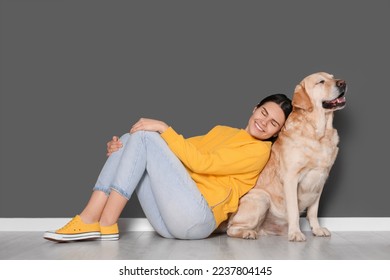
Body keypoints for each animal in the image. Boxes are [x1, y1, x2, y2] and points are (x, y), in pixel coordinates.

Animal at [227, 71, 346, 241]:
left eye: (333, 77)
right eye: (321, 82)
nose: (343, 83)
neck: (319, 133)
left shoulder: (321, 179)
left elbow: (313, 211)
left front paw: (317, 229)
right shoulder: (291, 178)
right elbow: (294, 210)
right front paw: (295, 233)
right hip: (261, 197)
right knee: (231, 229)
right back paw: (247, 233)